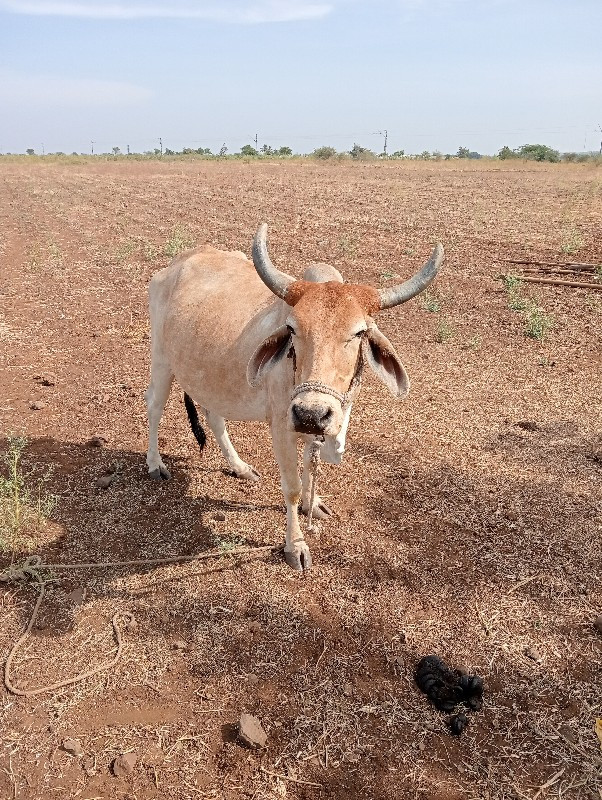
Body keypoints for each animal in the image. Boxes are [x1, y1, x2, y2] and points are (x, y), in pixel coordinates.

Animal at [144, 223, 440, 568]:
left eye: (359, 332)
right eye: (292, 328)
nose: (310, 412)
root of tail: (179, 262)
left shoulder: (318, 425)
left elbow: (311, 469)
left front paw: (315, 502)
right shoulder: (283, 428)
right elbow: (293, 487)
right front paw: (295, 544)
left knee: (214, 417)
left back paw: (240, 466)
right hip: (162, 361)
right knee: (154, 407)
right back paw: (155, 464)